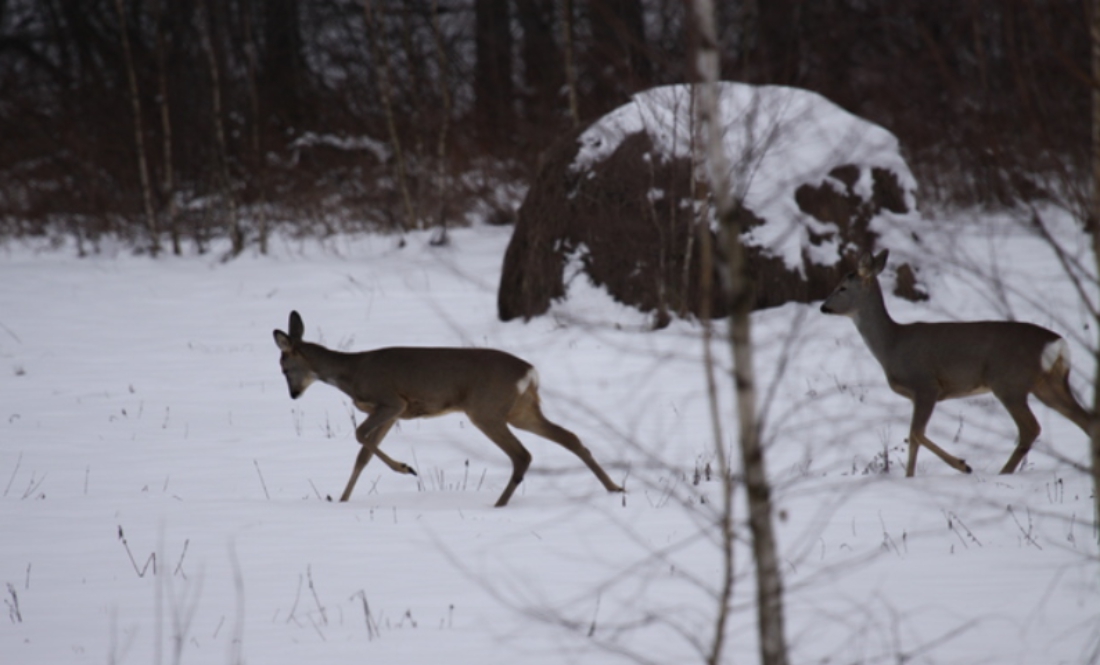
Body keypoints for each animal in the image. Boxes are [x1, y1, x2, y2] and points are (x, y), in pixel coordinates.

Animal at [270, 307, 624, 505]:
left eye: (284, 368)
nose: (293, 395)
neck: (351, 372)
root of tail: (530, 372)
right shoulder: (390, 412)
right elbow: (362, 456)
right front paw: (342, 500)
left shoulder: (391, 401)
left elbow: (359, 437)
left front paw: (406, 468)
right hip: (521, 410)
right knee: (570, 438)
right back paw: (615, 488)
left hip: (485, 409)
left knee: (522, 455)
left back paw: (498, 505)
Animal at [818, 250, 1091, 477]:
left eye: (842, 287)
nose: (823, 307)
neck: (892, 346)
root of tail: (1058, 344)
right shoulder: (919, 393)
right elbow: (913, 437)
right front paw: (910, 478)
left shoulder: (926, 385)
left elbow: (916, 433)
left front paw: (962, 465)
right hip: (1048, 383)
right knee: (1087, 419)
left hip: (1009, 382)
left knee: (1031, 428)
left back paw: (1003, 472)